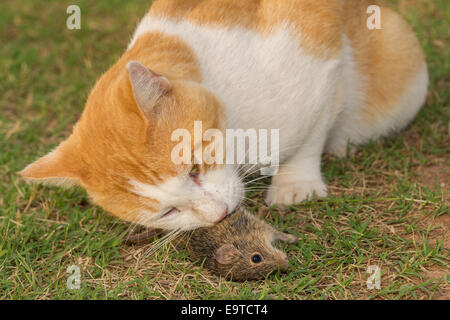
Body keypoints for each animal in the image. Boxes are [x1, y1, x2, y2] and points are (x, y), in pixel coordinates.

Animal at [19, 0, 428, 230]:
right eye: (167, 212)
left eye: (195, 169)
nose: (216, 215)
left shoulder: (322, 62)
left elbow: (310, 136)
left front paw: (296, 183)